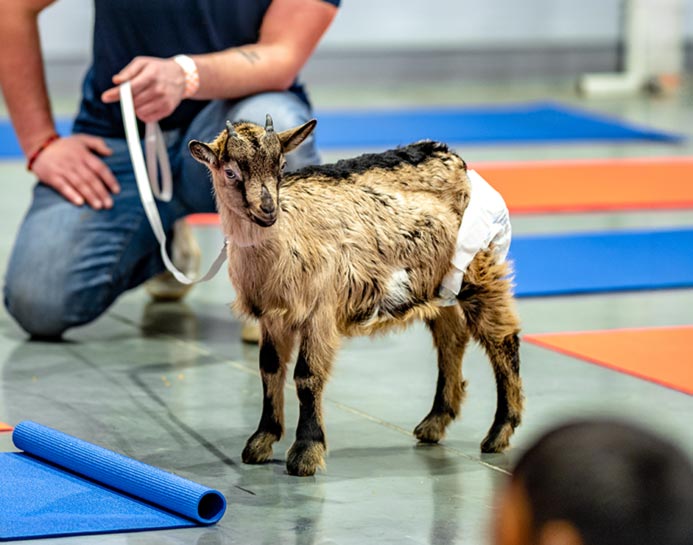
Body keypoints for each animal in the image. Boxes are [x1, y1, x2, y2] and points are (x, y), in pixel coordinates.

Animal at [187, 117, 520, 474]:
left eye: (281, 165)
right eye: (230, 171)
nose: (267, 209)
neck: (285, 236)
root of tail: (454, 158)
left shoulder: (319, 310)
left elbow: (306, 376)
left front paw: (306, 452)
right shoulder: (272, 317)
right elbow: (269, 369)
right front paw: (262, 441)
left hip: (478, 266)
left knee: (502, 337)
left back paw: (499, 432)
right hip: (439, 282)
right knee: (451, 337)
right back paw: (435, 422)